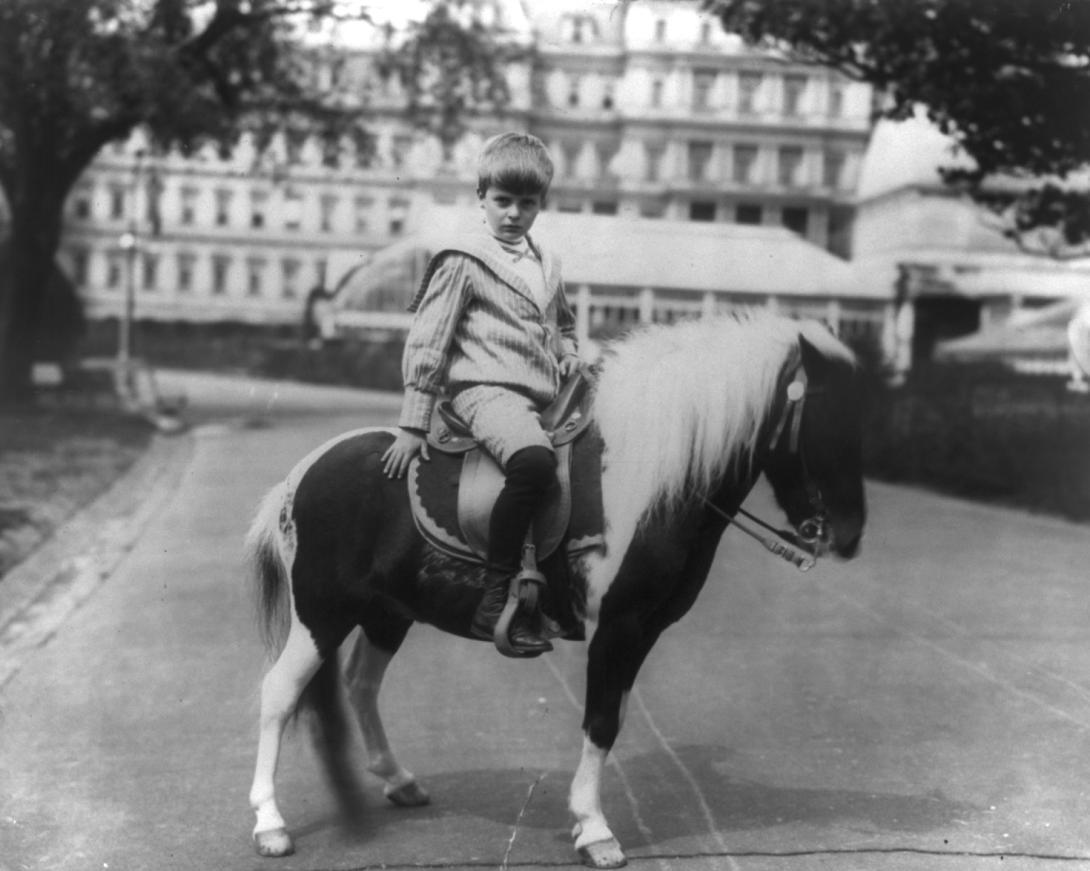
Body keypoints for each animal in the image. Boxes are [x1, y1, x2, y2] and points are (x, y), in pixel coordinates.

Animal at [244, 311, 867, 868]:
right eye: (822, 421)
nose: (850, 534)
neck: (648, 478)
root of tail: (301, 474)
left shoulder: (642, 632)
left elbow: (611, 720)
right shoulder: (617, 628)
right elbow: (601, 722)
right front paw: (595, 832)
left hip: (386, 614)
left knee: (361, 685)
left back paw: (398, 781)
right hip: (322, 613)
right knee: (278, 693)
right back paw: (270, 824)